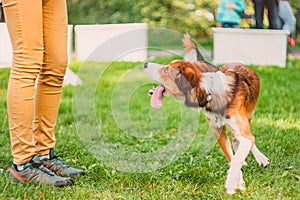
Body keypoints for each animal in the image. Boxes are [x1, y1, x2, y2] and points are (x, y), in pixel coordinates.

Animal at [144, 33, 270, 195]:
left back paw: (259, 157)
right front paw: (238, 180)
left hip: (248, 116)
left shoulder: (241, 128)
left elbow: (241, 151)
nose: (145, 64)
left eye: (166, 70)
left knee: (246, 138)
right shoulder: (218, 131)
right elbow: (231, 158)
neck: (208, 92)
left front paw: (232, 183)